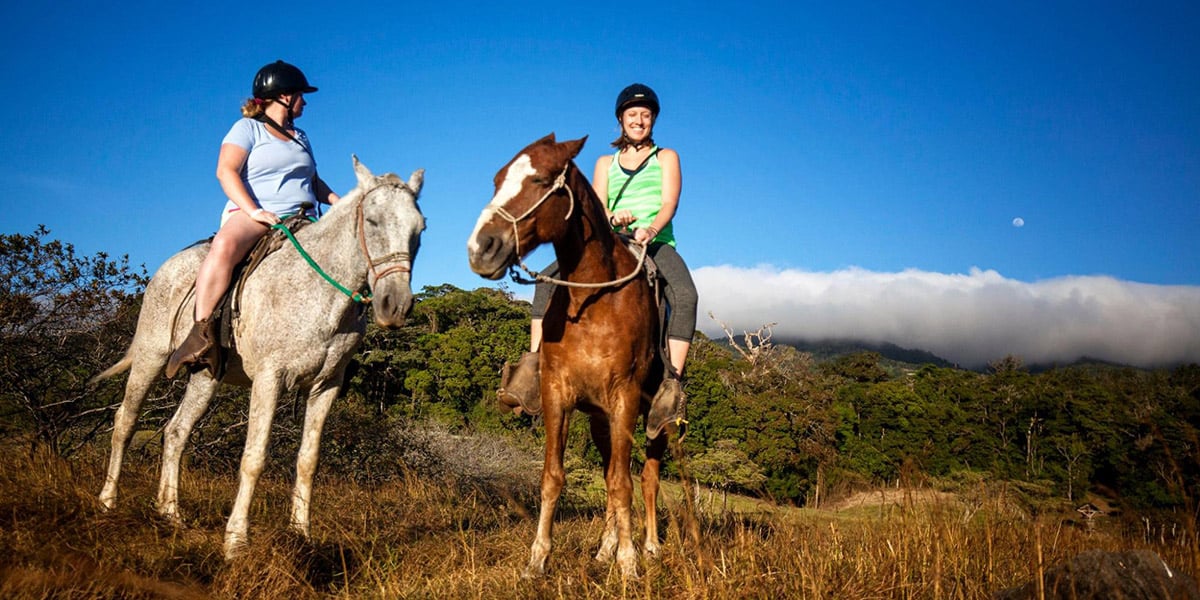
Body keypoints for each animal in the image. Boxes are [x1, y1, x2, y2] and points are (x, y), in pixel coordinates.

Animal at [93, 156, 424, 556]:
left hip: (206, 376)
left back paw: (170, 512)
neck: (320, 292)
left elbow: (308, 461)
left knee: (176, 432)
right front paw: (236, 540)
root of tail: (168, 266)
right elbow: (254, 458)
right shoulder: (269, 379)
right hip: (150, 357)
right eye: (372, 221)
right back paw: (108, 501)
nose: (396, 306)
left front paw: (301, 534)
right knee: (125, 421)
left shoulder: (325, 387)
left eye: (420, 229)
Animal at [463, 133, 667, 578]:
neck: (593, 299)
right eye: (497, 180)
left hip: (657, 421)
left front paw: (628, 564)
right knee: (612, 474)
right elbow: (555, 477)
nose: (480, 248)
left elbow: (624, 483)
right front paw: (538, 558)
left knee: (647, 477)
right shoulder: (558, 394)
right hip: (601, 421)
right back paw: (606, 547)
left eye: (541, 180)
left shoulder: (625, 396)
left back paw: (649, 546)